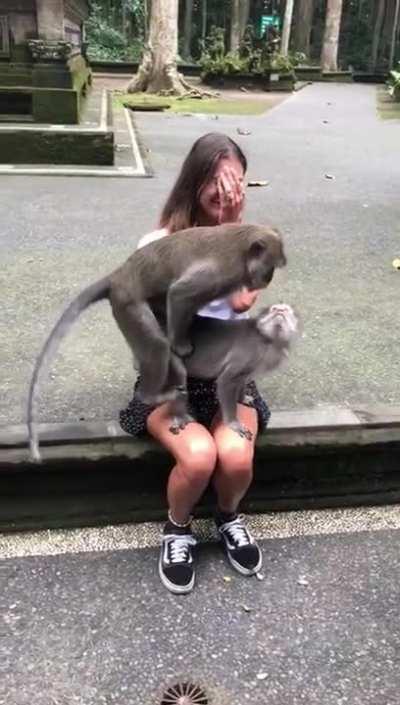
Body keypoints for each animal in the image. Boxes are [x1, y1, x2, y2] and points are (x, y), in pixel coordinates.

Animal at [166, 303, 299, 440]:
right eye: (273, 309)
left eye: (287, 309)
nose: (280, 309)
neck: (268, 340)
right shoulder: (249, 351)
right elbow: (226, 381)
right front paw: (233, 424)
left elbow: (242, 379)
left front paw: (242, 398)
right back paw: (179, 416)